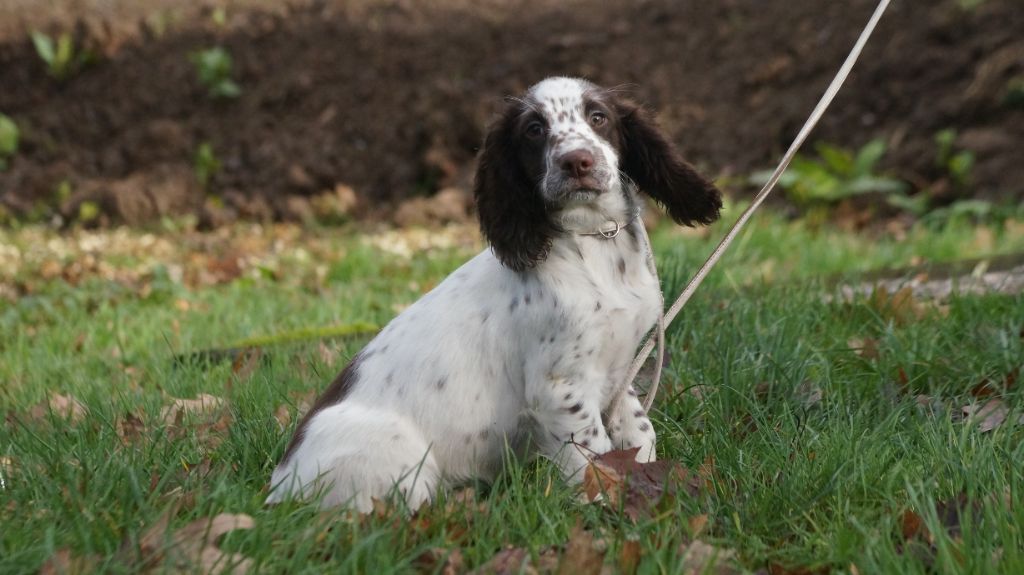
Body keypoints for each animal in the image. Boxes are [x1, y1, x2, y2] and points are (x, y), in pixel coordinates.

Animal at [268, 77, 724, 509]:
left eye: (598, 117)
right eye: (534, 130)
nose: (577, 161)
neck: (594, 241)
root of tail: (279, 488)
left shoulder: (621, 365)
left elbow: (638, 431)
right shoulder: (559, 386)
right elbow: (594, 453)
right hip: (402, 461)